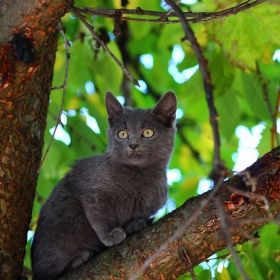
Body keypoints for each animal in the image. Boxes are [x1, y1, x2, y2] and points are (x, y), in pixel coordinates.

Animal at [31, 91, 177, 278]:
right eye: (122, 134)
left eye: (148, 132)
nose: (133, 144)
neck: (140, 176)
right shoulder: (93, 191)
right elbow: (100, 215)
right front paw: (109, 235)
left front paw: (134, 225)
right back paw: (78, 259)